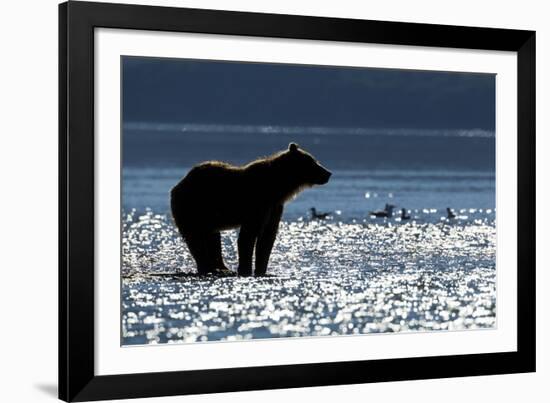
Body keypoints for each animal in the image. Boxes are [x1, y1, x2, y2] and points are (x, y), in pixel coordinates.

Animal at [170, 143, 332, 278]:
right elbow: (248, 236)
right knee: (195, 239)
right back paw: (208, 267)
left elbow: (267, 238)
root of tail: (179, 183)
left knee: (212, 239)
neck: (278, 187)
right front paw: (245, 270)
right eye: (313, 162)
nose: (328, 173)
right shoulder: (258, 204)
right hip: (192, 208)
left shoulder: (275, 208)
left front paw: (261, 270)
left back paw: (221, 268)